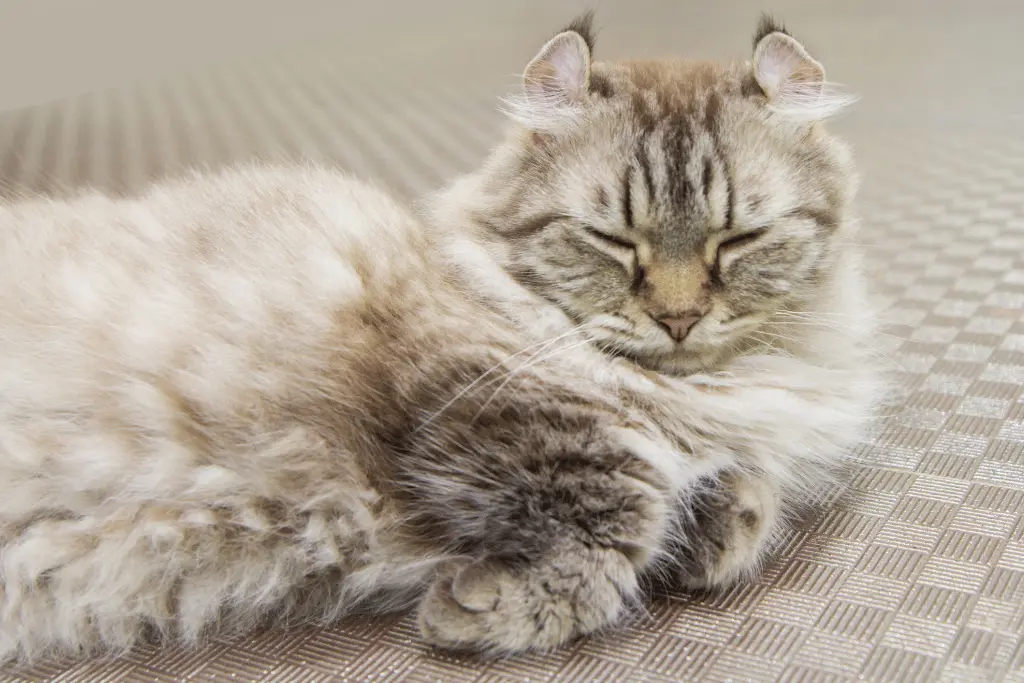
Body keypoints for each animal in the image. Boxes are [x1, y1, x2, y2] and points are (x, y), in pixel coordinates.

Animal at [0, 14, 880, 663]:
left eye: (737, 240)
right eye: (612, 241)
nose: (677, 317)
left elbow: (740, 500)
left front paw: (716, 519)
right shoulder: (476, 398)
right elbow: (621, 500)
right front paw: (481, 608)